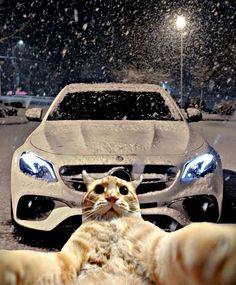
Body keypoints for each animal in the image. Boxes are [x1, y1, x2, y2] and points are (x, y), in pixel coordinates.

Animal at [0, 170, 236, 282]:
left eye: (123, 190)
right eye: (99, 189)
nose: (112, 198)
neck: (113, 226)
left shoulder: (160, 245)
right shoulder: (68, 257)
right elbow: (34, 260)